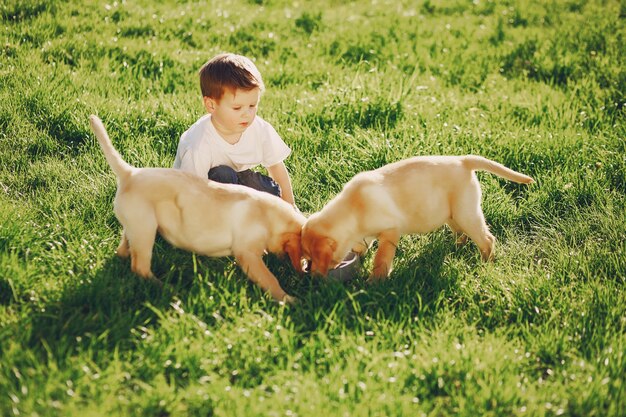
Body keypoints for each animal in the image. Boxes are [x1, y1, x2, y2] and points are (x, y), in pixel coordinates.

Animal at [88, 114, 302, 302]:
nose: (305, 272)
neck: (268, 216)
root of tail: (129, 173)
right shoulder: (247, 254)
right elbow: (269, 278)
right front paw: (288, 299)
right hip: (145, 228)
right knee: (139, 266)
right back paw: (166, 287)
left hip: (134, 224)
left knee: (123, 251)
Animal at [302, 154, 532, 282]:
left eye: (314, 258)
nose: (310, 275)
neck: (353, 208)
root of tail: (463, 160)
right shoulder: (365, 233)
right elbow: (362, 244)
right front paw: (360, 257)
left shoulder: (390, 231)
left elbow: (381, 259)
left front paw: (374, 282)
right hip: (452, 214)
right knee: (462, 233)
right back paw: (457, 247)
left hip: (467, 213)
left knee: (487, 239)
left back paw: (486, 264)